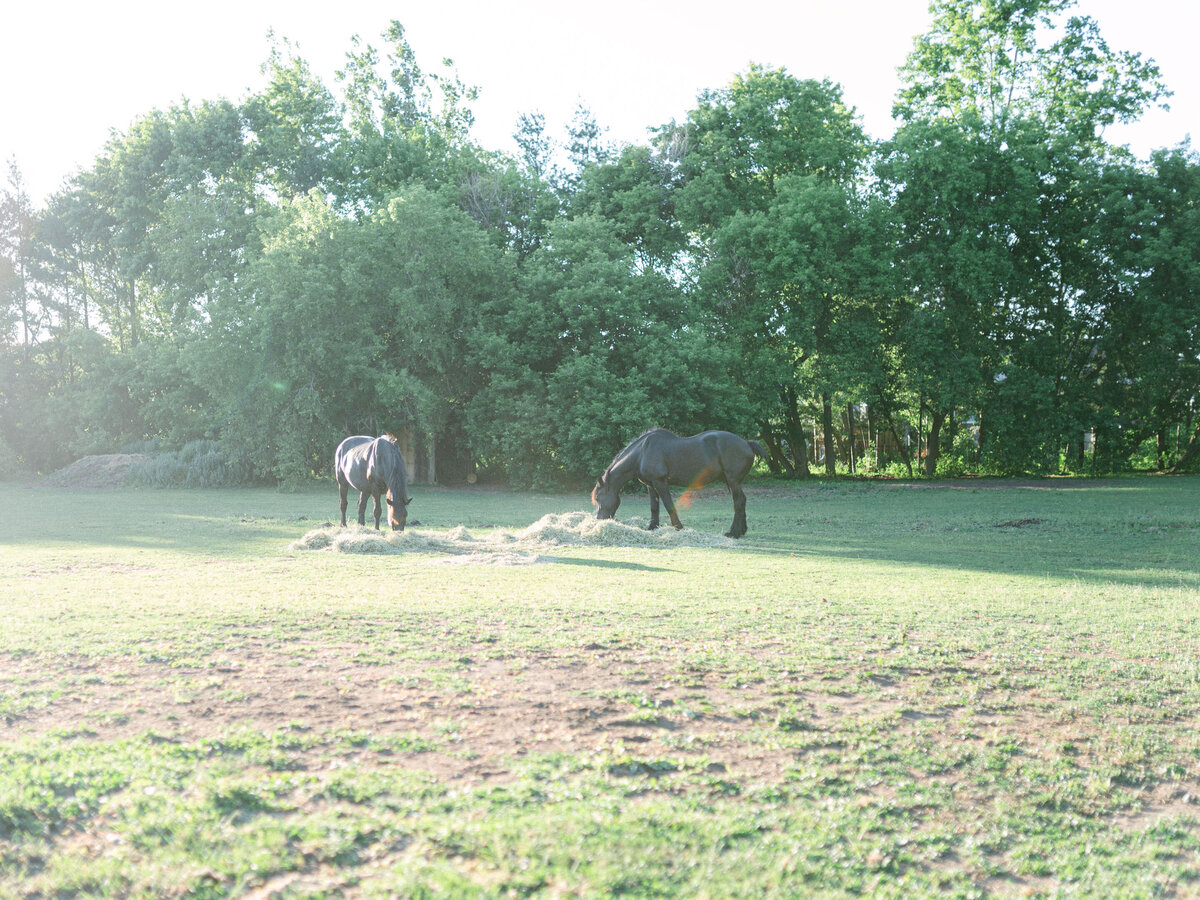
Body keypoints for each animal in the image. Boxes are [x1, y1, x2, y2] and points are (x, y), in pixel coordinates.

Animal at [592, 427, 768, 535]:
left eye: (599, 497)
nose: (599, 519)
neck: (642, 452)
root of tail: (746, 443)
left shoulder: (661, 483)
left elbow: (668, 505)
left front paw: (678, 527)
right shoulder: (651, 486)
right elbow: (654, 507)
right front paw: (652, 527)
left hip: (733, 481)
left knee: (738, 502)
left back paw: (733, 533)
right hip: (729, 481)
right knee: (741, 501)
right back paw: (741, 531)